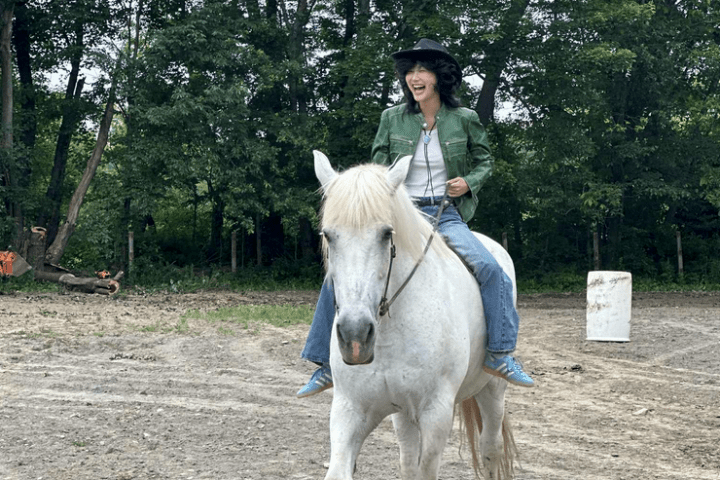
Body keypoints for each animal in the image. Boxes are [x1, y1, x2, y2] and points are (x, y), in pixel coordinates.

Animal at [313, 150, 518, 480]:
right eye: (329, 236)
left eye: (386, 234)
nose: (355, 337)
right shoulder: (349, 410)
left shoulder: (436, 415)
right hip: (403, 415)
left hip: (493, 390)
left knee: (490, 449)